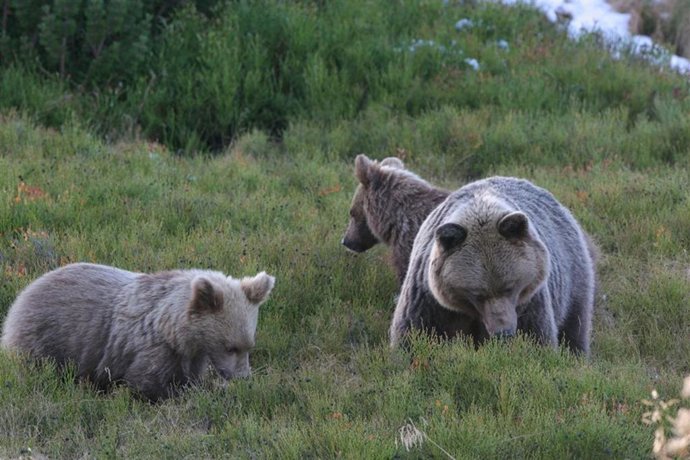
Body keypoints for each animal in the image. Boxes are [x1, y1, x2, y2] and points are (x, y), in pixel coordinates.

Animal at [1, 262, 275, 400]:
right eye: (231, 347)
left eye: (249, 346)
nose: (243, 377)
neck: (174, 329)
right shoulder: (152, 348)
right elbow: (149, 383)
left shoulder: (192, 353)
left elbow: (190, 377)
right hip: (45, 335)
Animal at [390, 176, 596, 356]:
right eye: (477, 293)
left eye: (510, 286)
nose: (503, 332)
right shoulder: (429, 301)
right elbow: (411, 334)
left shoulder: (530, 303)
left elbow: (536, 338)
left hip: (573, 279)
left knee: (574, 326)